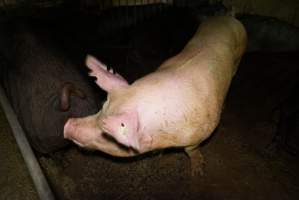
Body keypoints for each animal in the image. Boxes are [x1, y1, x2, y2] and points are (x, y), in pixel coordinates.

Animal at [63, 16, 248, 175]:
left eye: (108, 137)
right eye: (101, 108)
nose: (68, 125)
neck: (166, 135)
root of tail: (226, 16)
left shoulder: (201, 132)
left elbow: (190, 150)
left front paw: (197, 172)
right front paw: (158, 154)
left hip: (239, 54)